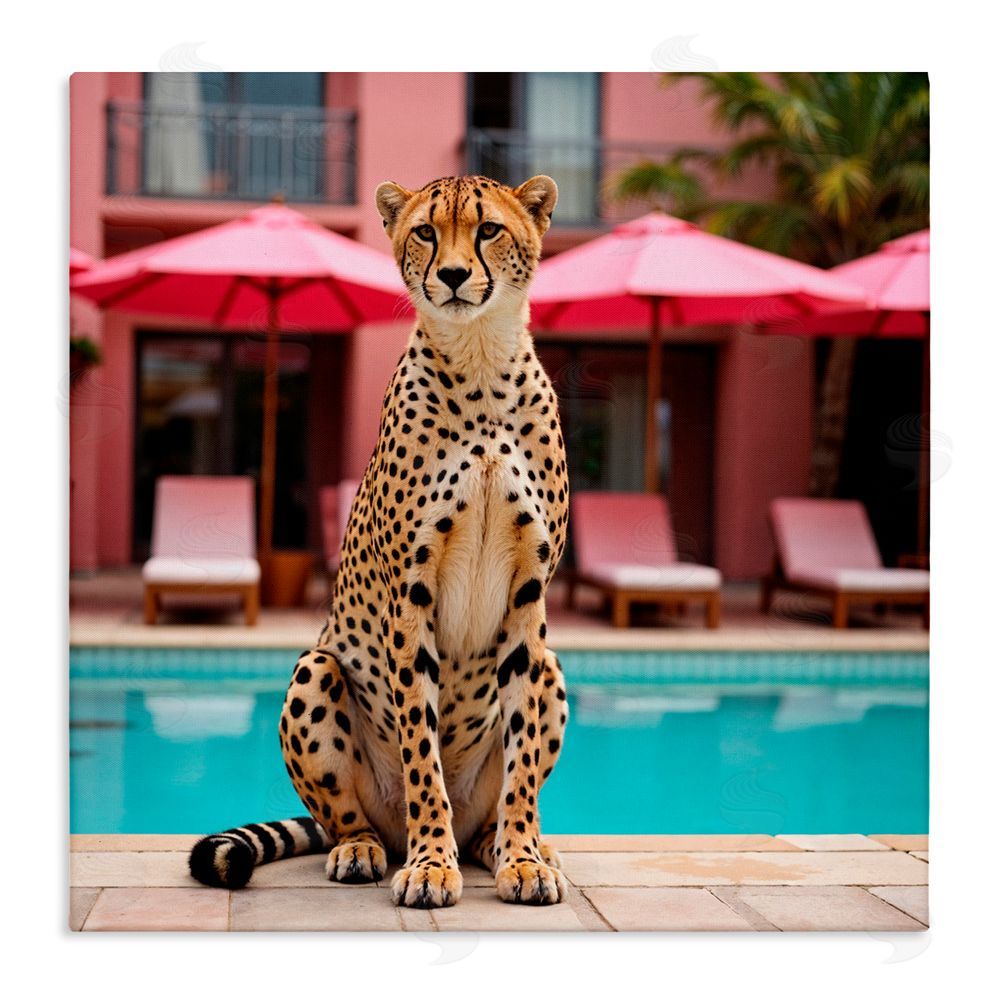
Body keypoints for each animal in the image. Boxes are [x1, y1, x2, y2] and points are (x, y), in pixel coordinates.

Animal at [189, 173, 570, 909]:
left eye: (488, 230)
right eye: (425, 231)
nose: (452, 275)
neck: (481, 361)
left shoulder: (529, 599)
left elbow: (522, 760)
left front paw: (522, 858)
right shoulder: (410, 596)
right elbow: (422, 752)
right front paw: (429, 864)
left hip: (555, 670)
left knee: (505, 790)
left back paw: (511, 845)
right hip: (316, 668)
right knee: (346, 816)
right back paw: (365, 848)